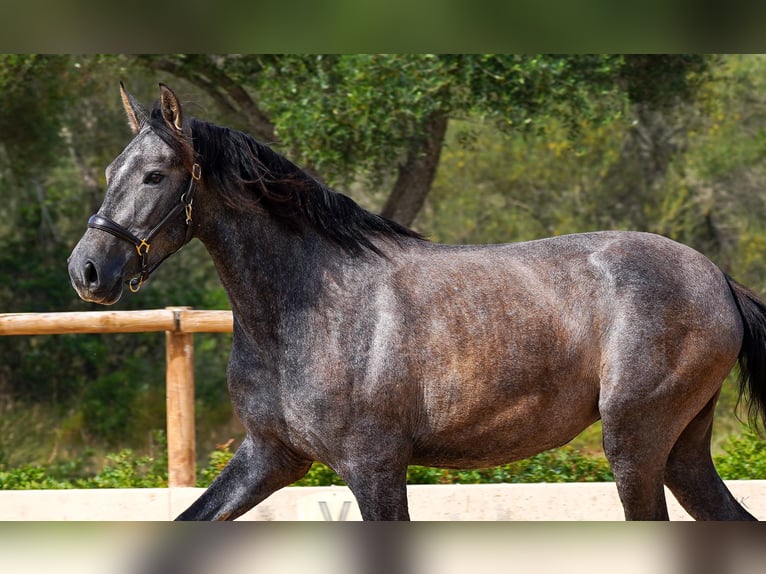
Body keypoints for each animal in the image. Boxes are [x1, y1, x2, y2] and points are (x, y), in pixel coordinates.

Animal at [67, 84, 766, 520]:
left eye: (155, 175)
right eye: (109, 171)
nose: (88, 270)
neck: (309, 309)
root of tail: (718, 280)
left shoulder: (373, 465)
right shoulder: (271, 455)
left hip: (634, 444)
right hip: (681, 451)